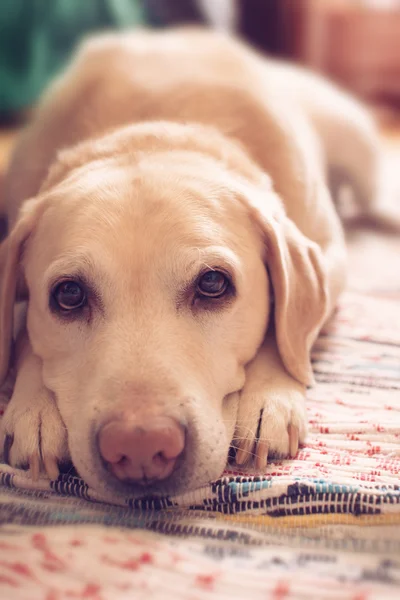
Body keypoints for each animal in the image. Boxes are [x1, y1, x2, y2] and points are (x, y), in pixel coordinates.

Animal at [0, 27, 380, 496]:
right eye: (68, 295)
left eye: (213, 284)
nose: (140, 448)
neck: (154, 130)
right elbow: (21, 331)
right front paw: (33, 407)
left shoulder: (328, 254)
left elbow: (287, 333)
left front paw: (268, 398)